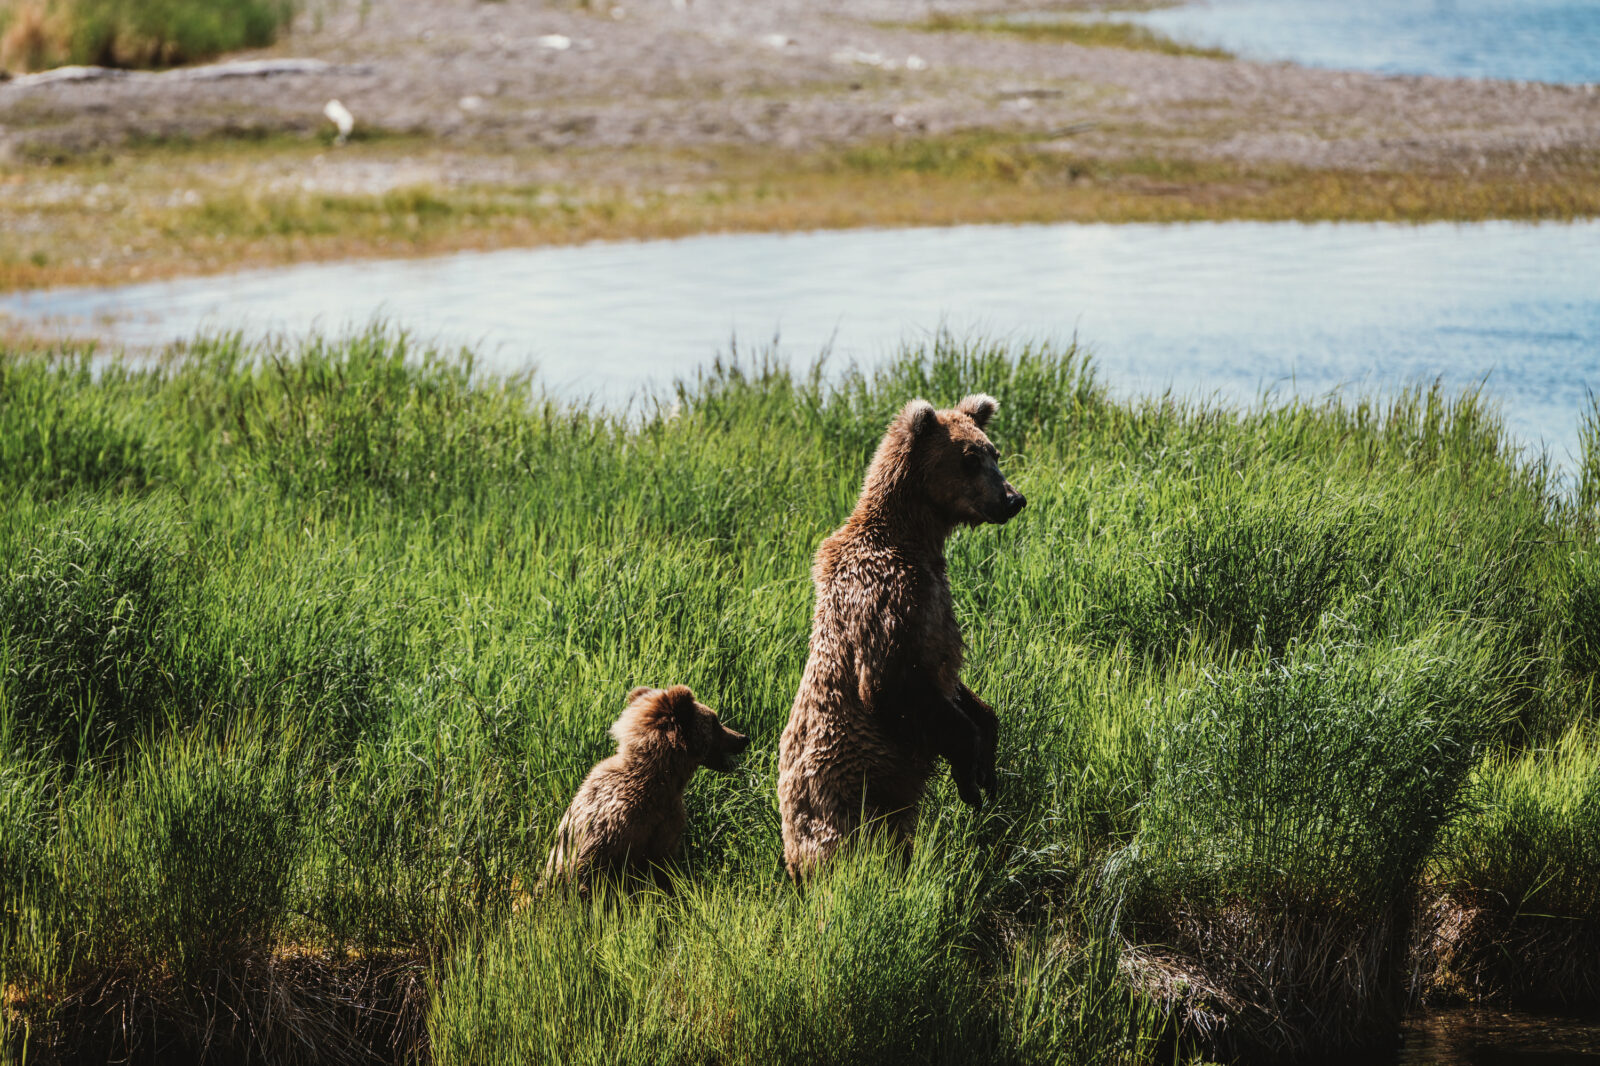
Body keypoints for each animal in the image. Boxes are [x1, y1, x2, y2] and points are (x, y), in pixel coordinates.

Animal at [784, 393, 1030, 877]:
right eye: (969, 459)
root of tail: (790, 859)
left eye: (995, 452)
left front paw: (988, 760)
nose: (1013, 499)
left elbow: (957, 690)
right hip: (844, 806)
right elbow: (891, 685)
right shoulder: (887, 600)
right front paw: (970, 776)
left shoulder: (934, 598)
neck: (915, 537)